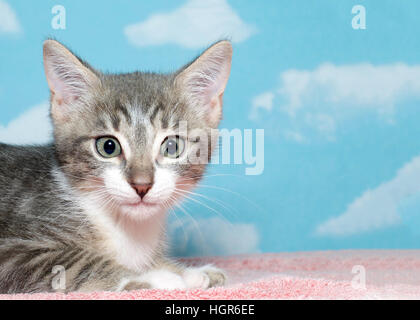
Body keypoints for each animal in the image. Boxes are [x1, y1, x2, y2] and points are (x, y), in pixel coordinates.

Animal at [0, 38, 231, 294]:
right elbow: (74, 263)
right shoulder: (11, 250)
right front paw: (157, 278)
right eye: (108, 147)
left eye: (172, 146)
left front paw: (191, 273)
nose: (142, 185)